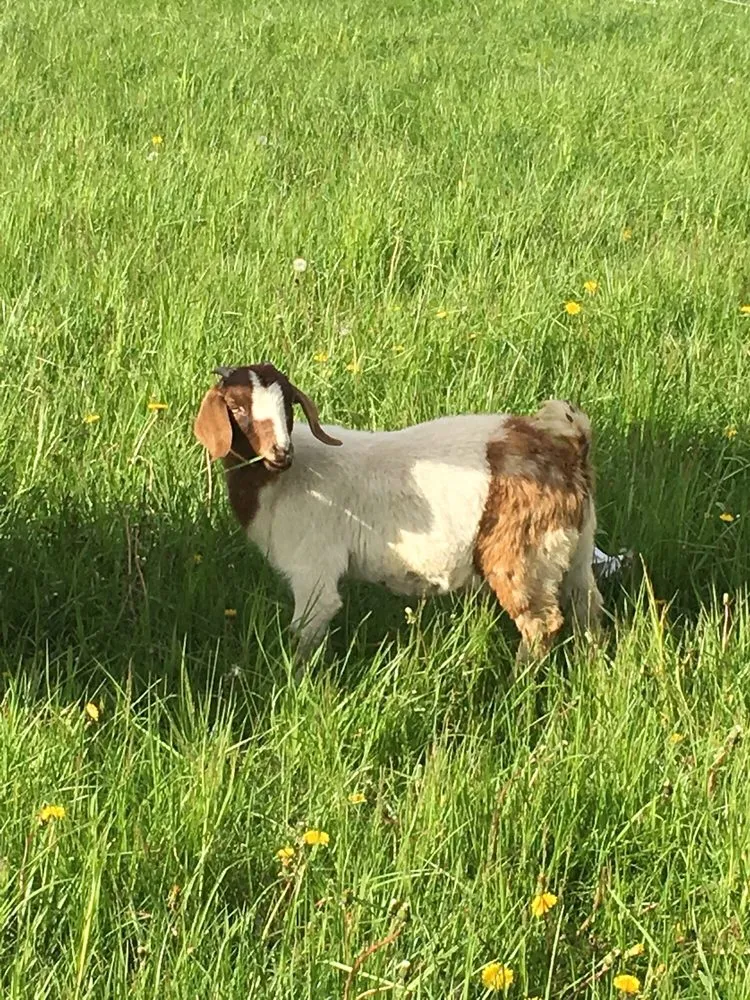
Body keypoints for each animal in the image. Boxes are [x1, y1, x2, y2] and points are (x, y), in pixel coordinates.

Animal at [194, 363, 602, 663]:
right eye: (237, 408)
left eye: (288, 406)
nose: (281, 452)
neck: (280, 481)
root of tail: (569, 452)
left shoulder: (313, 570)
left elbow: (307, 634)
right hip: (572, 550)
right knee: (587, 607)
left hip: (522, 553)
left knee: (542, 623)